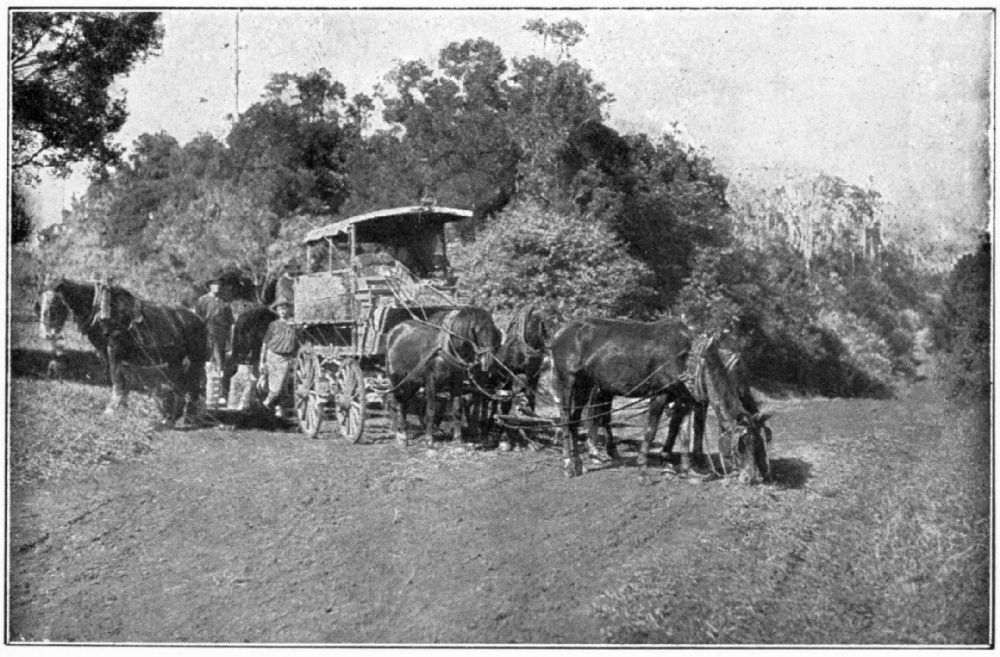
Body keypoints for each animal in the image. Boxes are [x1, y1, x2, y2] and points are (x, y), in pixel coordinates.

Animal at [39, 277, 207, 425]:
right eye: (40, 303)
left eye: (55, 303)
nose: (48, 334)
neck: (104, 309)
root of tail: (199, 319)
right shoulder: (107, 353)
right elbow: (121, 382)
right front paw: (122, 409)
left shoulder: (114, 350)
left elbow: (117, 381)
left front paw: (111, 411)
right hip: (175, 362)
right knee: (179, 386)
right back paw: (171, 418)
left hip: (195, 361)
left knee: (193, 388)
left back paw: (189, 418)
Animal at [385, 307, 502, 448]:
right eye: (476, 330)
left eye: (494, 331)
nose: (488, 362)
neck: (446, 347)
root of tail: (395, 330)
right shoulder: (431, 381)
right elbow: (431, 409)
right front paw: (429, 440)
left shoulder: (457, 382)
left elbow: (457, 409)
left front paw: (457, 439)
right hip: (396, 379)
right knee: (397, 403)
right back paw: (401, 435)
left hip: (412, 383)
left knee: (404, 403)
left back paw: (403, 433)